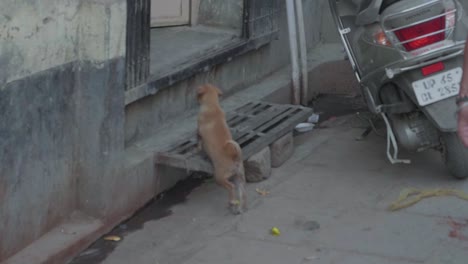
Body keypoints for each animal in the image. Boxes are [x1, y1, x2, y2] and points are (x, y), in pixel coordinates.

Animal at [196, 84, 247, 214]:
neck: (212, 105)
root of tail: (235, 156)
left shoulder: (198, 131)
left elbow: (198, 141)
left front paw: (198, 149)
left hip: (219, 177)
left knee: (231, 187)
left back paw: (232, 202)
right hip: (240, 177)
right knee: (242, 193)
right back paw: (240, 208)